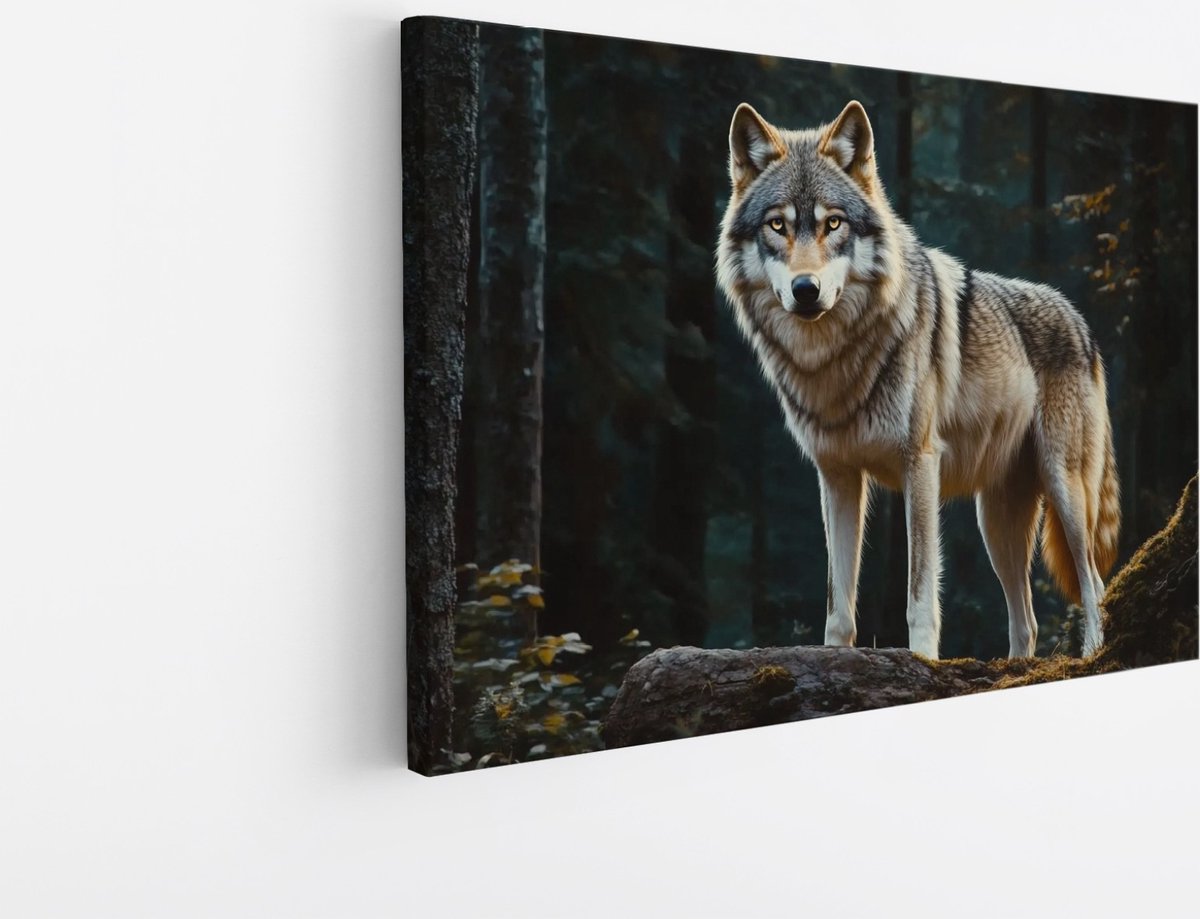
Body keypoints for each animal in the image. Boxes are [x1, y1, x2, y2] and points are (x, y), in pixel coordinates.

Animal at [716, 100, 1120, 660]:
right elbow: (838, 602)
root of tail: (1081, 323)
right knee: (1028, 622)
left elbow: (920, 593)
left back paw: (1091, 655)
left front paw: (924, 660)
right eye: (778, 225)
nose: (805, 289)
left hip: (1065, 492)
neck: (834, 361)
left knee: (1094, 584)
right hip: (995, 523)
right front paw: (834, 658)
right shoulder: (836, 476)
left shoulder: (920, 465)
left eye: (833, 223)